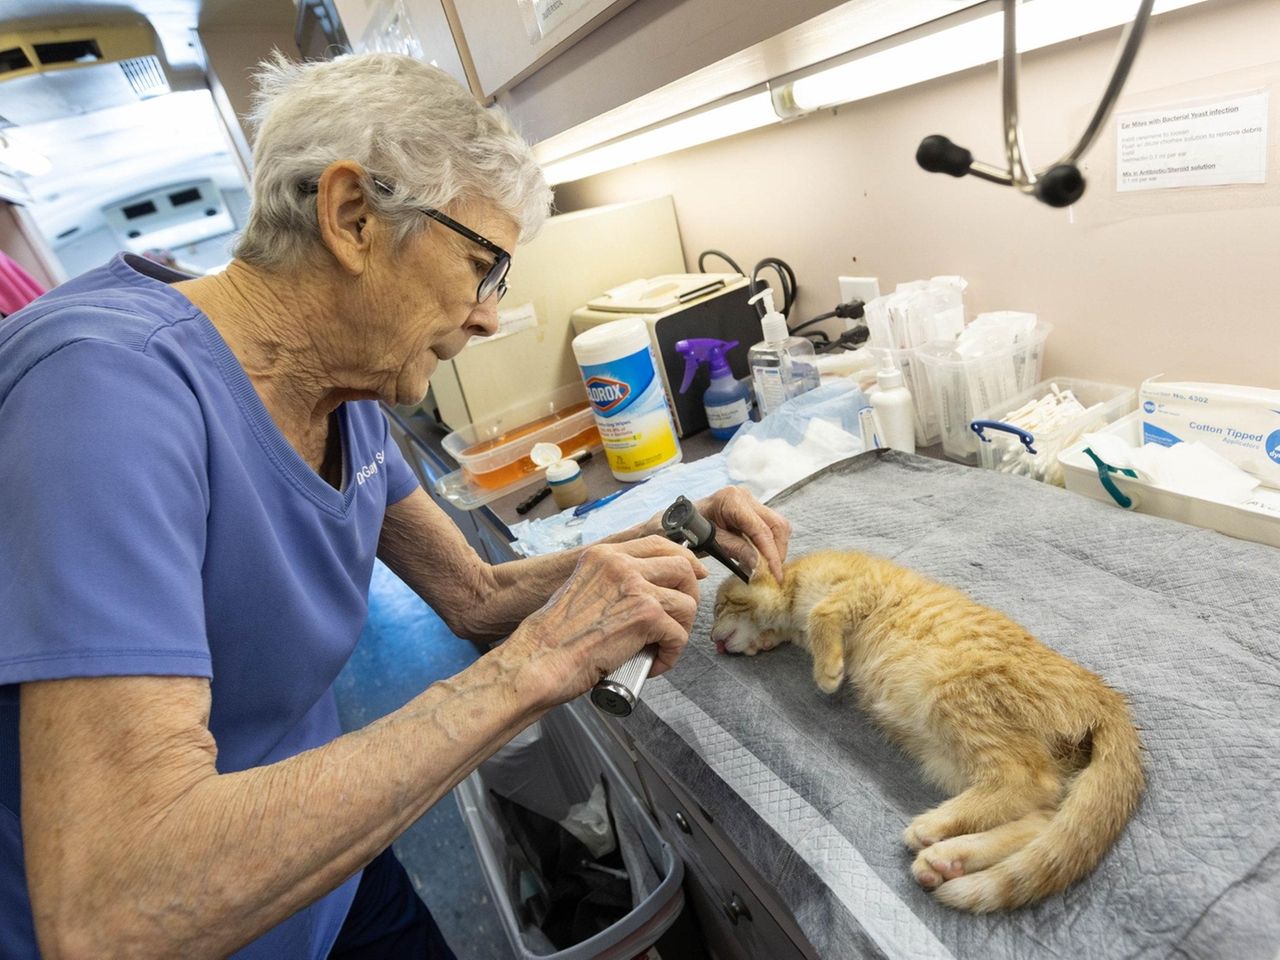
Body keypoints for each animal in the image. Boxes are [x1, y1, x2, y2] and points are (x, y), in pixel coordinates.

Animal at [716, 552, 1146, 911]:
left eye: (721, 606)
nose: (711, 641)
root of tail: (1105, 696)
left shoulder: (861, 586)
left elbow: (823, 614)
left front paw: (827, 670)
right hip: (946, 758)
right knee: (1044, 818)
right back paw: (948, 858)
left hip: (954, 699)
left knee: (1030, 781)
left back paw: (933, 829)